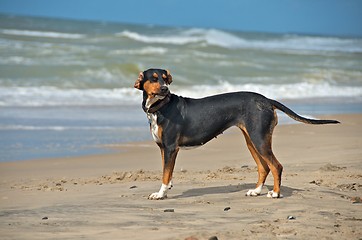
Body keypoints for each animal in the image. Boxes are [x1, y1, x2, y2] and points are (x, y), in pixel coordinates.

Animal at [133, 68, 340, 200]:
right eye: (154, 78)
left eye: (165, 78)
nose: (165, 89)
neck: (161, 107)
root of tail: (267, 100)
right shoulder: (163, 149)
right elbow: (167, 173)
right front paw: (166, 190)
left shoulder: (170, 148)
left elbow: (165, 174)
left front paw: (160, 194)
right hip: (252, 140)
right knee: (264, 167)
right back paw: (256, 191)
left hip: (259, 139)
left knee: (276, 166)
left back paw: (275, 193)